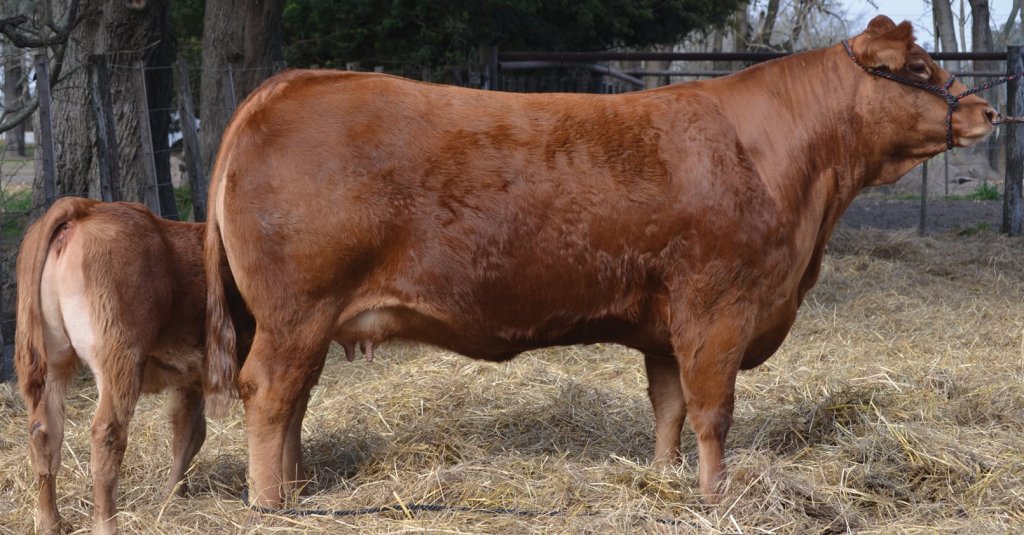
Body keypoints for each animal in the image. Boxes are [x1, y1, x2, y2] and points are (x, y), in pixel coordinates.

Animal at [14, 198, 252, 535]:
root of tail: (86, 207)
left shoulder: (189, 378)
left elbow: (188, 432)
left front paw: (171, 494)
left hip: (52, 362)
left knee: (44, 431)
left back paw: (51, 522)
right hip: (120, 359)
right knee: (107, 432)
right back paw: (106, 525)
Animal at [203, 16, 998, 508]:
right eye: (917, 66)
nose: (987, 112)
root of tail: (290, 83)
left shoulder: (668, 326)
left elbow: (669, 407)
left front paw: (664, 478)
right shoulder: (719, 307)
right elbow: (713, 411)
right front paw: (717, 495)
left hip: (305, 319)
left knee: (295, 399)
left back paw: (298, 490)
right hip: (295, 311)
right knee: (270, 394)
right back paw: (272, 503)